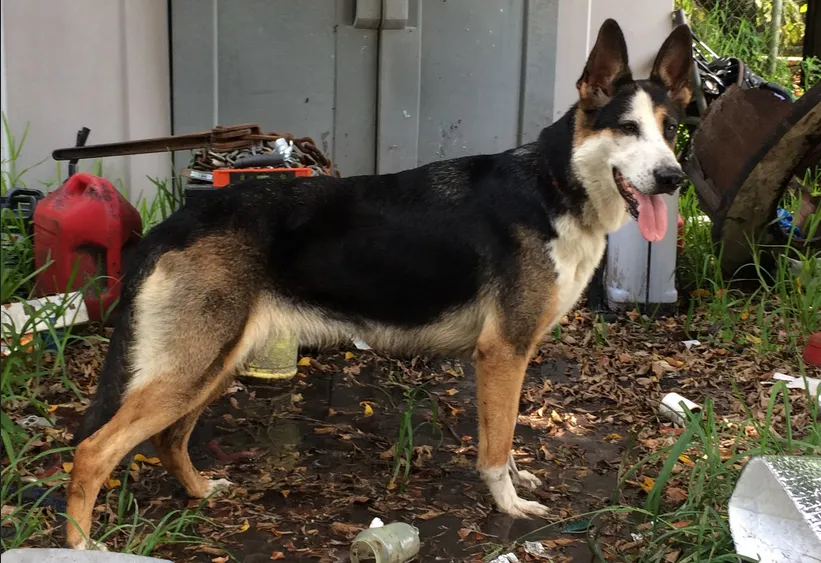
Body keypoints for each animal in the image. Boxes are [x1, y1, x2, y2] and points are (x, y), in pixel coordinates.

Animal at [65, 18, 692, 552]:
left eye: (670, 131)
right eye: (627, 128)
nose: (674, 178)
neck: (555, 186)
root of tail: (177, 220)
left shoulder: (510, 359)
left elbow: (506, 432)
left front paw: (517, 481)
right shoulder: (502, 353)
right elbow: (495, 446)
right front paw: (509, 504)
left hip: (211, 364)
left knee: (168, 440)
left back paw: (199, 493)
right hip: (192, 368)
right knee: (93, 452)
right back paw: (81, 545)